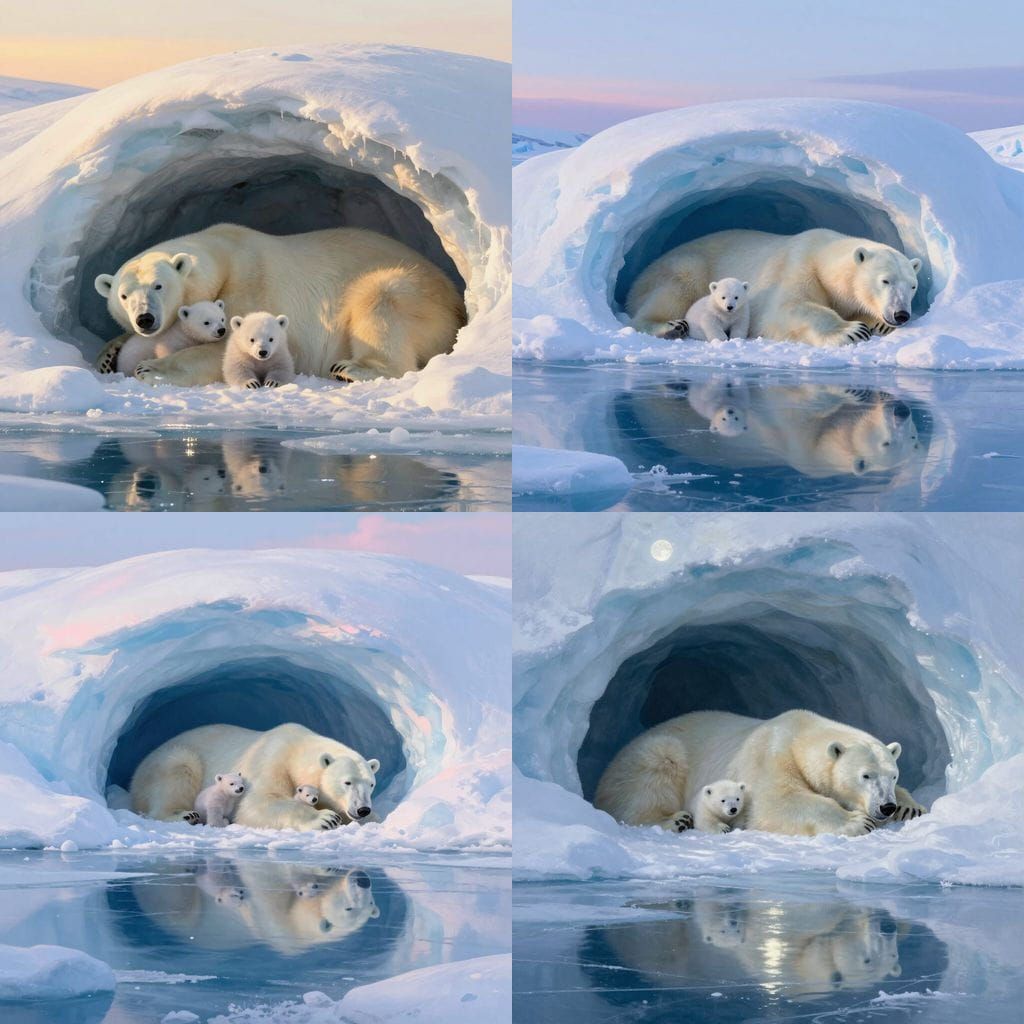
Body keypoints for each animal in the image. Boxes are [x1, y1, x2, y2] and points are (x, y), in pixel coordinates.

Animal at [93, 223, 466, 386]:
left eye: (159, 285)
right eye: (123, 295)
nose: (144, 319)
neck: (225, 254)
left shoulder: (251, 285)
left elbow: (234, 346)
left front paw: (151, 368)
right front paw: (107, 356)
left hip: (416, 292)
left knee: (381, 299)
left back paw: (352, 368)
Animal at [129, 722, 381, 831]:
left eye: (371, 784)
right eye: (347, 782)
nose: (362, 809)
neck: (296, 750)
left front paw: (374, 821)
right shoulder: (271, 760)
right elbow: (257, 804)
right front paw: (325, 818)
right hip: (170, 759)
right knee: (178, 771)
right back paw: (184, 815)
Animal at [593, 709, 927, 837]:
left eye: (893, 775)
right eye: (865, 776)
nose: (886, 806)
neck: (798, 734)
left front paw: (911, 808)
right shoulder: (770, 756)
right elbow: (776, 802)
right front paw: (857, 821)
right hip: (652, 755)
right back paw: (675, 819)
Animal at [625, 228, 922, 347]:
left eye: (913, 286)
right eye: (885, 280)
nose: (901, 315)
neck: (821, 256)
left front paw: (877, 323)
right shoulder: (797, 266)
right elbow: (784, 309)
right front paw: (852, 331)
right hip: (683, 265)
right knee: (675, 288)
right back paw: (670, 326)